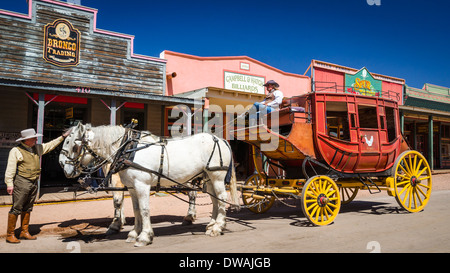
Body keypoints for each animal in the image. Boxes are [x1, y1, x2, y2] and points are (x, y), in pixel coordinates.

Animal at [59, 122, 239, 245]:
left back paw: (217, 227)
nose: (61, 164)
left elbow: (144, 210)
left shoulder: (142, 185)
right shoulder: (132, 188)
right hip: (208, 177)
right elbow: (136, 210)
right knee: (215, 199)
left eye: (74, 146)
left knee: (222, 198)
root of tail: (221, 139)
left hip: (217, 176)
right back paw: (211, 224)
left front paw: (144, 236)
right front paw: (133, 233)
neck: (127, 150)